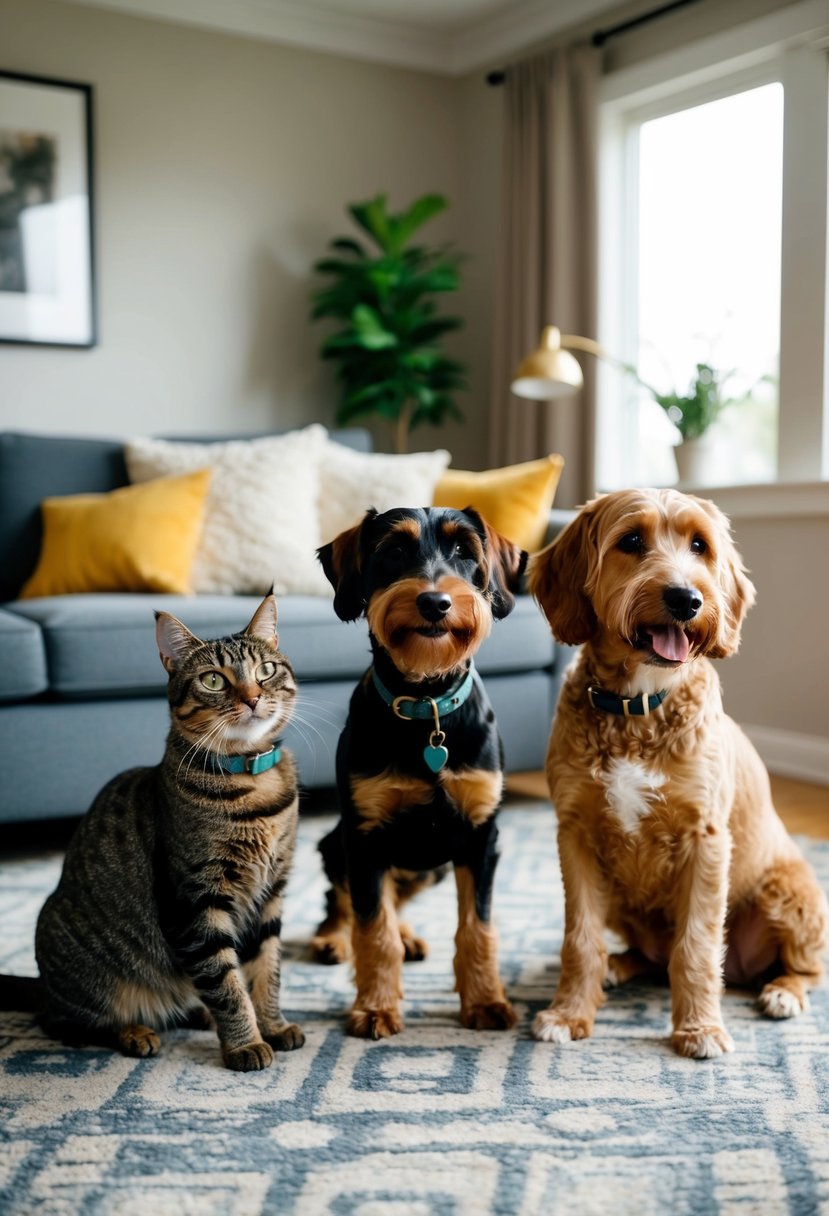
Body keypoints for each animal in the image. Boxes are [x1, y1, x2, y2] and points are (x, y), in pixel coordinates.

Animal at [22, 598, 303, 1074]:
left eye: (265, 670)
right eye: (213, 679)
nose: (252, 698)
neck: (252, 786)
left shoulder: (271, 893)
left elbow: (266, 971)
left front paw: (274, 1025)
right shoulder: (195, 903)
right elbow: (227, 983)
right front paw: (245, 1043)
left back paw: (197, 1013)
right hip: (79, 967)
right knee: (66, 1023)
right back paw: (135, 1033)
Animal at [306, 503, 525, 1036]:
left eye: (464, 550)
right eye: (393, 551)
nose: (435, 602)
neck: (427, 705)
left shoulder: (480, 837)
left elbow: (477, 928)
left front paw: (485, 1000)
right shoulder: (363, 838)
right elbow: (372, 929)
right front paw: (375, 1006)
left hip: (433, 867)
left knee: (394, 898)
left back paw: (408, 935)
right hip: (334, 843)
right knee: (340, 901)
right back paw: (332, 939)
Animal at [525, 488, 821, 1060]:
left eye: (700, 546)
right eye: (631, 541)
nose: (687, 600)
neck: (638, 706)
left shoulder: (704, 840)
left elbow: (697, 945)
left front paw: (699, 1028)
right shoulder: (575, 835)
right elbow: (580, 940)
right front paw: (569, 1013)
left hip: (792, 896)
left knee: (805, 968)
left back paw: (783, 991)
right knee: (651, 957)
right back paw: (619, 967)